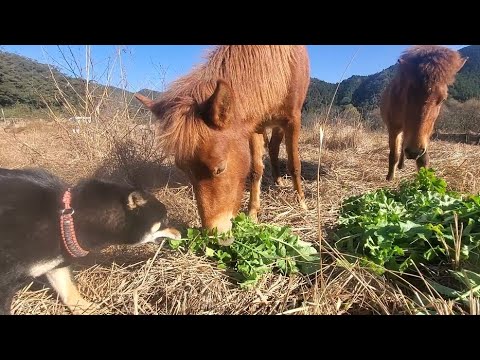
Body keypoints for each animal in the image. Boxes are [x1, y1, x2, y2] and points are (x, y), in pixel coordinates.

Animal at [134, 45, 312, 235]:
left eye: (220, 168)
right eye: (184, 170)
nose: (213, 232)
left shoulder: (293, 120)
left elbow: (294, 165)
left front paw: (302, 204)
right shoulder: (255, 124)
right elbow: (256, 169)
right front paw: (252, 213)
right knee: (272, 148)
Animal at [380, 45, 466, 180]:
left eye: (442, 99)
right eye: (407, 94)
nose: (414, 152)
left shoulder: (426, 133)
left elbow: (423, 159)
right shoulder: (393, 128)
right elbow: (394, 154)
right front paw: (390, 178)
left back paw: (402, 165)